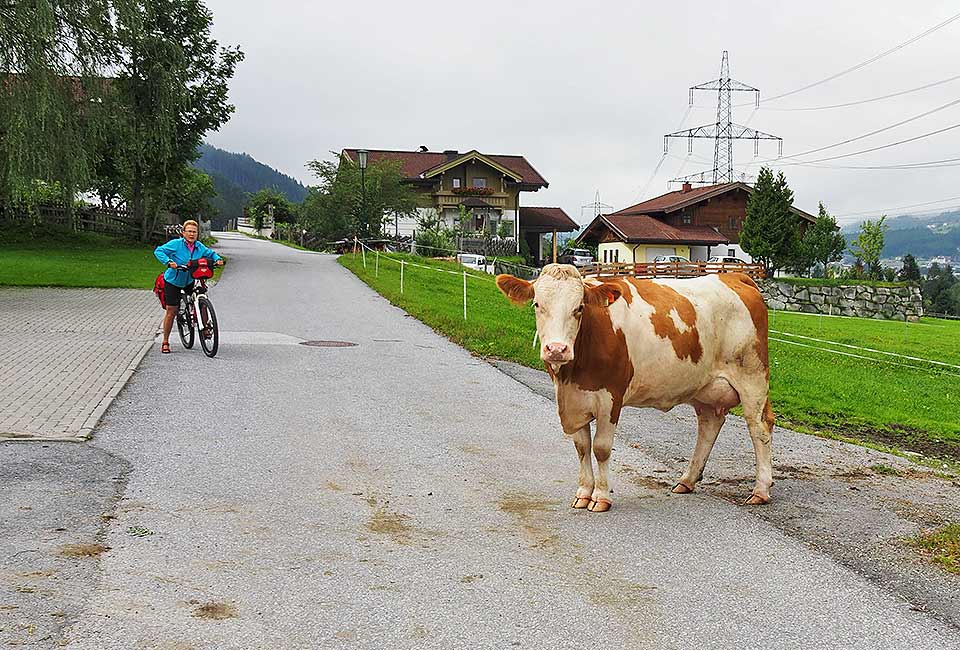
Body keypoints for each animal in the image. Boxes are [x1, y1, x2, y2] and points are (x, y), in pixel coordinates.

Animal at [496, 264, 772, 512]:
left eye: (579, 308)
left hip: (753, 377)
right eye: (537, 305)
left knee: (760, 428)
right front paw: (583, 493)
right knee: (709, 425)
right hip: (705, 387)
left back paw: (761, 490)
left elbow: (601, 448)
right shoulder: (575, 401)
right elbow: (582, 447)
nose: (556, 349)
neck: (571, 375)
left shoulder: (610, 397)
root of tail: (735, 277)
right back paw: (687, 481)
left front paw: (601, 497)